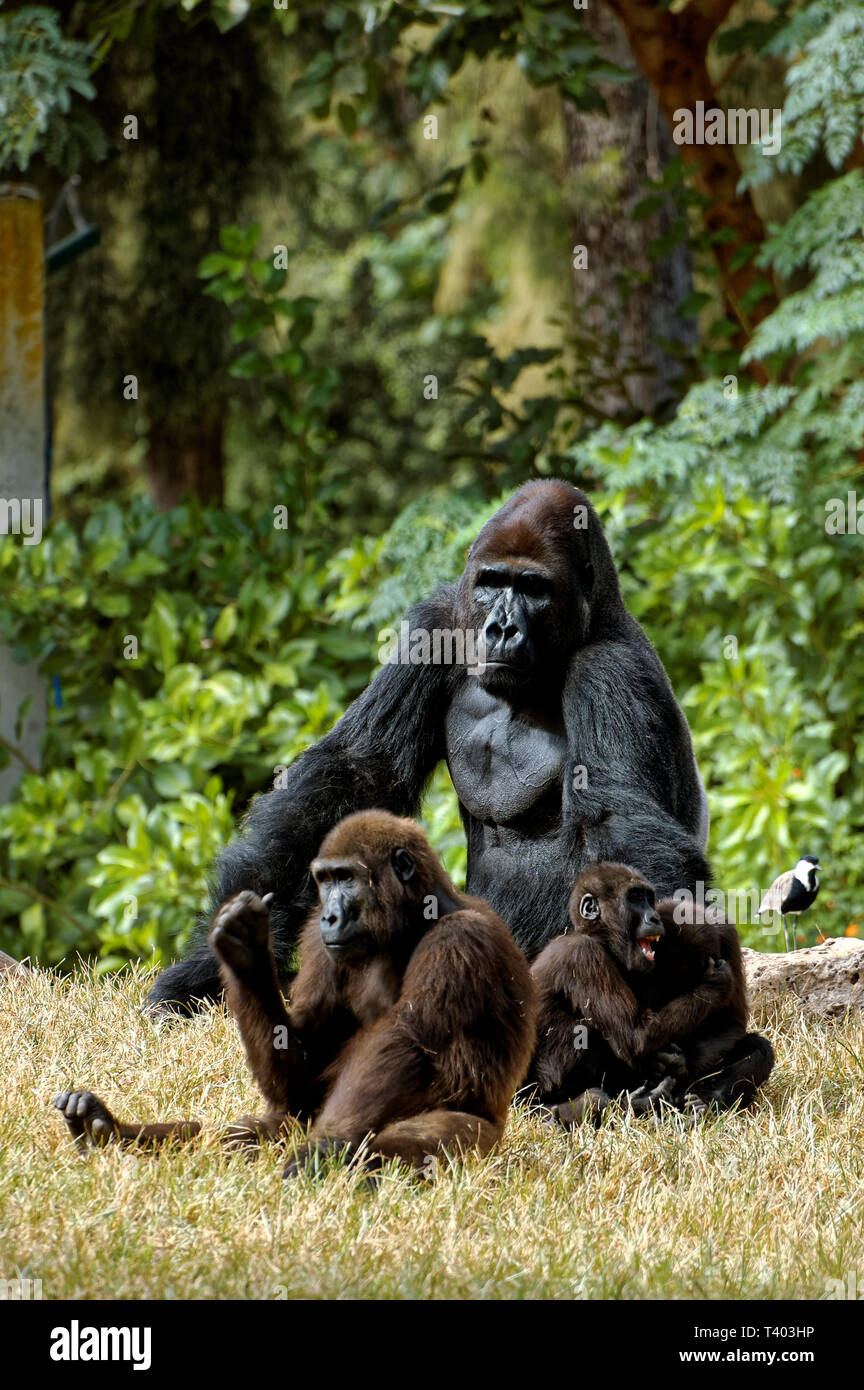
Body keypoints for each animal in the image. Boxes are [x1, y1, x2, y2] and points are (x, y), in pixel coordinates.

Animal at [54, 811, 538, 1178]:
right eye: (324, 880)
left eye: (347, 878)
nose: (328, 916)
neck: (417, 918)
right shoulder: (322, 949)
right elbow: (302, 1070)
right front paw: (246, 957)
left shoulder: (459, 940)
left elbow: (405, 1042)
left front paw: (324, 1151)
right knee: (246, 1133)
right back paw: (105, 1129)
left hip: (489, 1139)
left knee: (434, 1135)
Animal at [148, 483, 711, 1017]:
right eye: (491, 582)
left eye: (533, 588)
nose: (501, 628)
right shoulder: (434, 623)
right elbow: (358, 773)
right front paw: (210, 966)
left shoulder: (611, 671)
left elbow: (619, 821)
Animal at [527, 861, 777, 1123]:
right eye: (635, 898)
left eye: (648, 899)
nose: (653, 917)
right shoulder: (584, 955)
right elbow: (636, 1036)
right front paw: (713, 986)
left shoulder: (726, 934)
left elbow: (731, 1023)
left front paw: (682, 1064)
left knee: (758, 1048)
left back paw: (703, 1103)